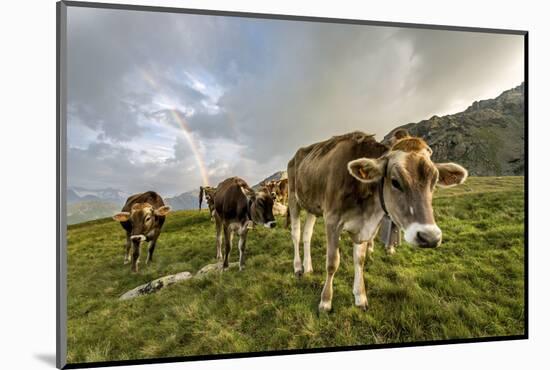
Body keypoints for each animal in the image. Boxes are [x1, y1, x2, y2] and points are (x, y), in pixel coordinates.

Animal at [288, 132, 470, 310]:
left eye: (434, 182)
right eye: (395, 181)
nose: (430, 237)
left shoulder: (365, 226)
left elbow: (360, 260)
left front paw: (360, 296)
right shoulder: (332, 220)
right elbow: (332, 262)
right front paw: (325, 301)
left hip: (312, 207)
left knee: (307, 235)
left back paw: (308, 267)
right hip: (293, 199)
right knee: (296, 235)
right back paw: (298, 268)